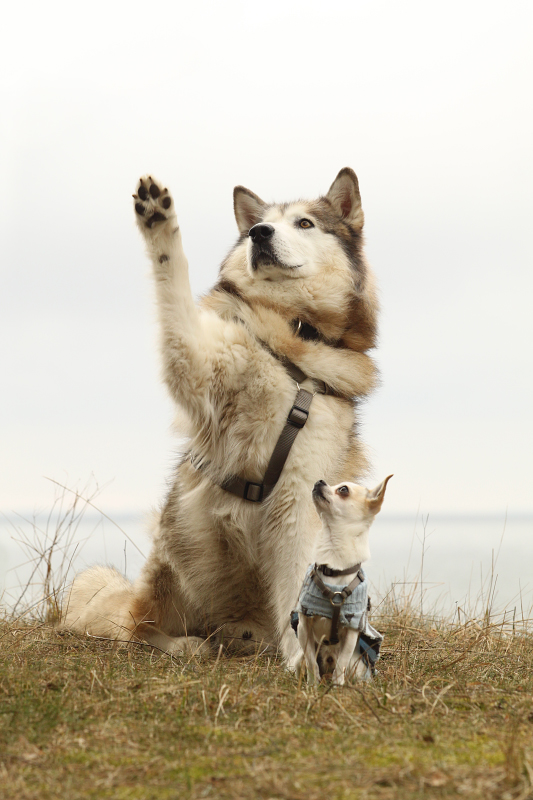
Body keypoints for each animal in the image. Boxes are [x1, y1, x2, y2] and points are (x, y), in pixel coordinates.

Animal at [61, 169, 378, 668]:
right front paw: (159, 222)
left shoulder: (300, 498)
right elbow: (175, 289)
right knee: (139, 630)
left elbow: (298, 583)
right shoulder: (199, 365)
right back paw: (185, 644)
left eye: (304, 223)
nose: (259, 233)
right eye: (261, 225)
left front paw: (301, 659)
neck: (290, 328)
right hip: (180, 564)